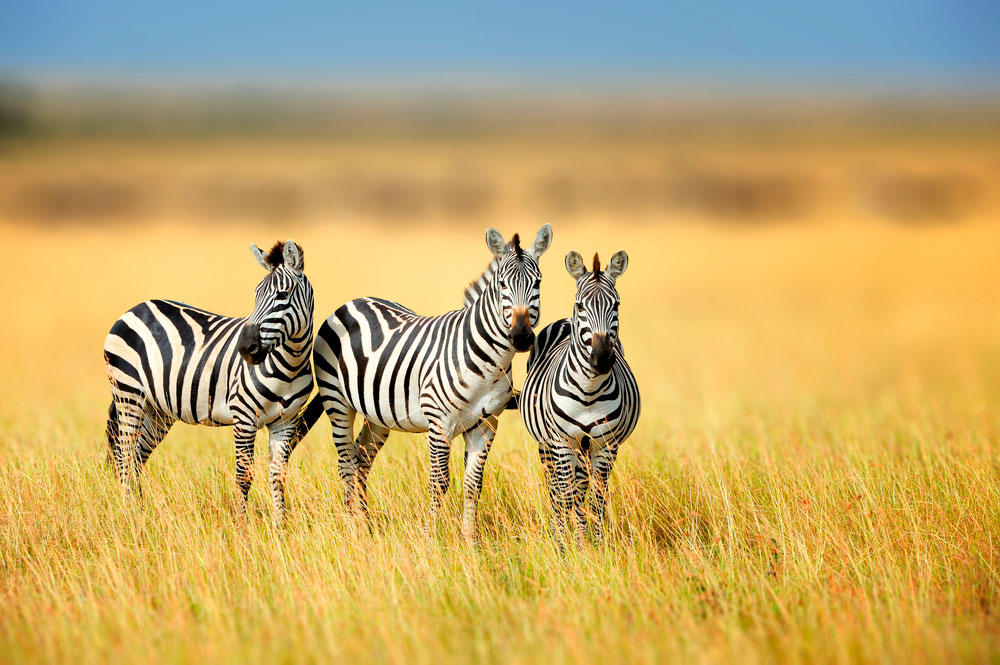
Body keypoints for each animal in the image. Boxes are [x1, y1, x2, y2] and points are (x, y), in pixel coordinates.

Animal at [102, 239, 312, 524]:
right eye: (255, 295)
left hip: (157, 410)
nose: (246, 348)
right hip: (128, 394)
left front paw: (280, 528)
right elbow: (243, 477)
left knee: (137, 457)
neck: (290, 364)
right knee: (124, 456)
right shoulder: (243, 417)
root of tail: (136, 308)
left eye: (282, 295)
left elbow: (279, 477)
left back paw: (140, 512)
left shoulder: (285, 421)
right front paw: (242, 527)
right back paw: (128, 516)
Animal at [292, 226, 552, 544]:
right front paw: (431, 539)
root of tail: (353, 301)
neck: (489, 362)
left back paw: (365, 526)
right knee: (346, 464)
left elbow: (473, 484)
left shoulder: (486, 425)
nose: (522, 336)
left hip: (378, 415)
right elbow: (438, 482)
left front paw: (470, 542)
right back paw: (354, 530)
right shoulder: (439, 423)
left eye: (538, 283)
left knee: (361, 461)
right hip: (337, 402)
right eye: (502, 284)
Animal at [516, 249, 640, 544]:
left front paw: (596, 544)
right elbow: (567, 496)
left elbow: (596, 499)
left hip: (584, 448)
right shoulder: (562, 443)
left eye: (617, 305)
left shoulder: (606, 445)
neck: (589, 390)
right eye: (581, 305)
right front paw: (573, 546)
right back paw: (559, 537)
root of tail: (565, 319)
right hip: (549, 446)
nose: (602, 358)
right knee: (556, 491)